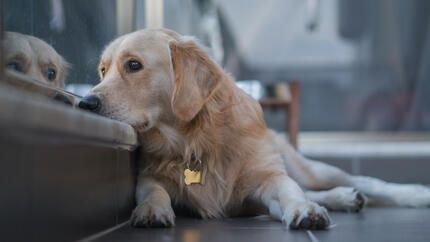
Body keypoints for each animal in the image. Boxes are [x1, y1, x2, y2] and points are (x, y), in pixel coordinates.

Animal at [79, 28, 430, 229]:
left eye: (134, 65)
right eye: (102, 70)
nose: (85, 103)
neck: (194, 141)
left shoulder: (266, 178)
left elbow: (289, 191)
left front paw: (305, 210)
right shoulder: (149, 175)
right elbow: (153, 191)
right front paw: (151, 210)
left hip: (307, 168)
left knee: (359, 181)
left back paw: (411, 193)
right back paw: (343, 198)